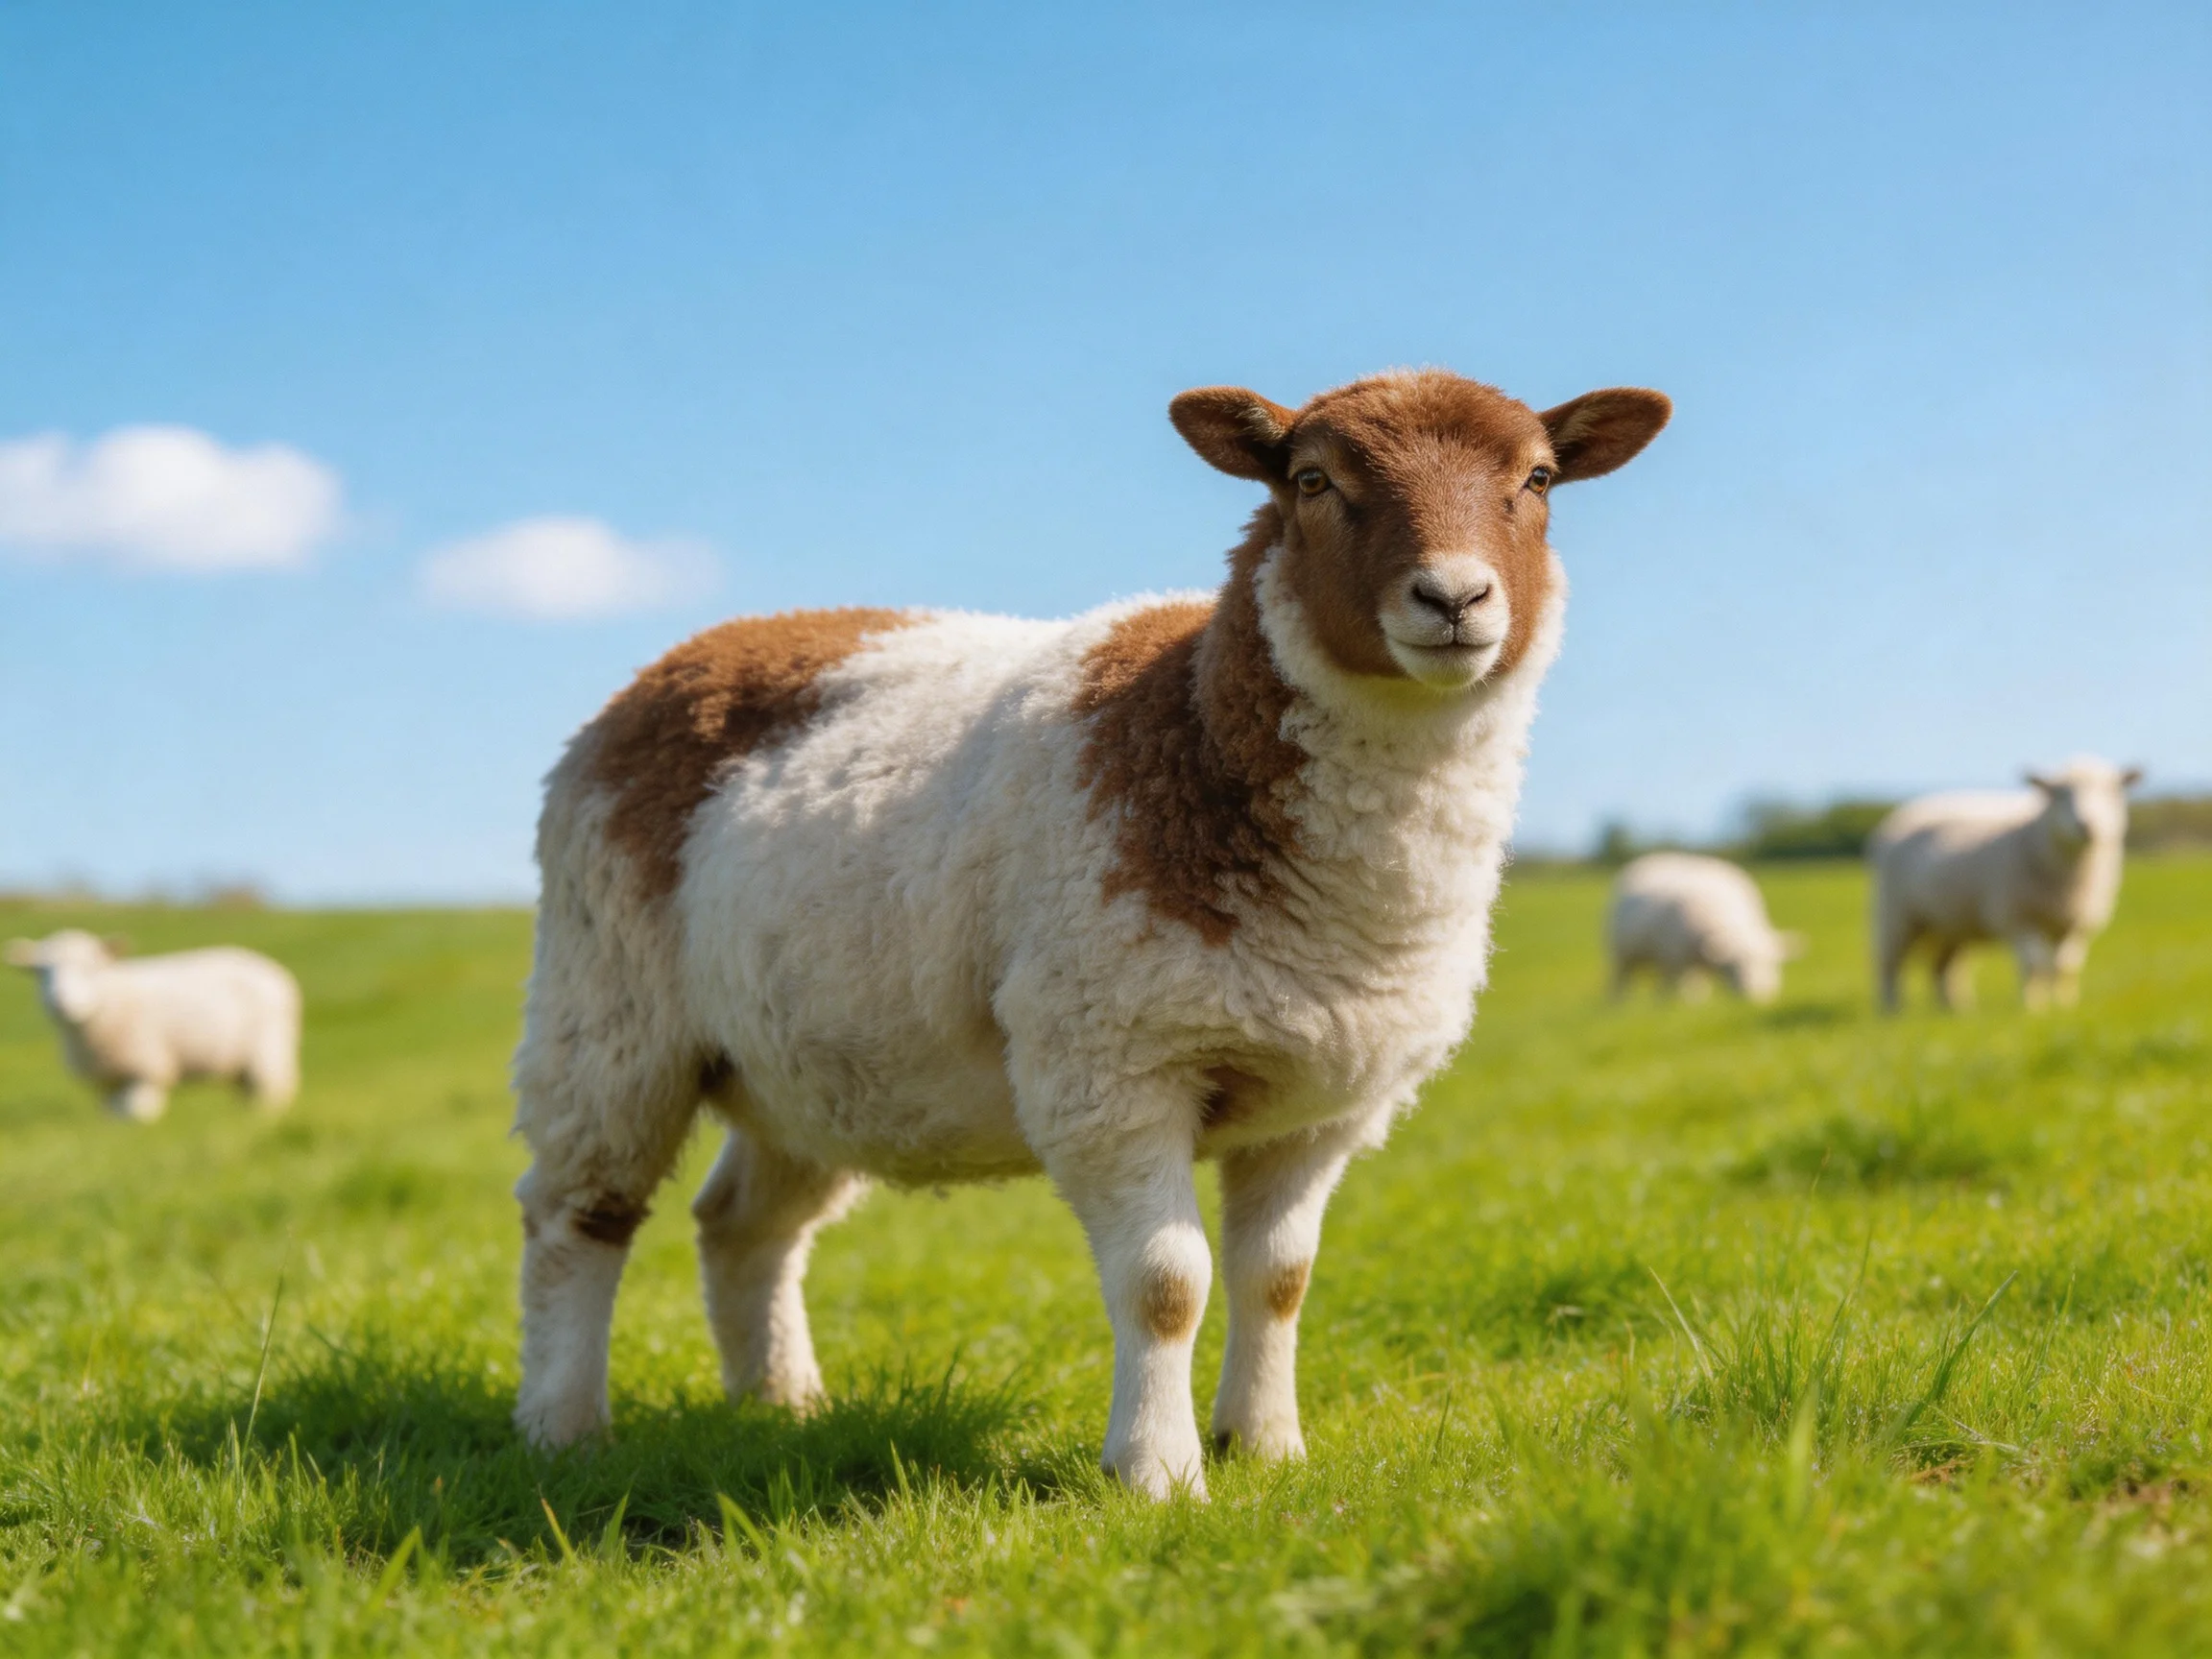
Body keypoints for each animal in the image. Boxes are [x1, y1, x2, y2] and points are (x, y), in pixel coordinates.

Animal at [4, 929, 301, 1120]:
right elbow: (112, 1115)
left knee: (270, 1094)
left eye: (90, 967)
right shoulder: (106, 1082)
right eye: (41, 971)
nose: (60, 1002)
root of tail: (272, 970)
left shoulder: (147, 1070)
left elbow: (136, 1113)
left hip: (268, 1052)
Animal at [509, 368, 1671, 1496]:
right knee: (577, 1215)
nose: (1455, 597)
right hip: (607, 1009)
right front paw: (1158, 1474)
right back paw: (564, 1429)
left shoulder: (1326, 1099)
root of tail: (689, 655)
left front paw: (1268, 1448)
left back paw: (781, 1405)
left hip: (809, 1062)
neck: (1195, 733)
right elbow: (1167, 1285)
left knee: (744, 1226)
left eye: (1539, 479)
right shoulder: (1110, 1065)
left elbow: (1279, 1280)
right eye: (1310, 479)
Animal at [1607, 852, 1801, 1004]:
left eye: (1772, 963)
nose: (1756, 996)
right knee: (1622, 980)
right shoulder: (1674, 957)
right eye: (1733, 965)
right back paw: (1618, 1004)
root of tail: (1658, 856)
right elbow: (1674, 986)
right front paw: (1671, 1005)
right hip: (1621, 953)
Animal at [1869, 756, 2141, 1012]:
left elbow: (2064, 967)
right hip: (1896, 913)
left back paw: (1956, 1010)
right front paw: (2034, 1008)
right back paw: (1892, 1010)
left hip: (1950, 923)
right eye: (2059, 794)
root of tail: (1907, 811)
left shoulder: (2074, 924)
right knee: (1889, 964)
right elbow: (2034, 965)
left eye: (2112, 791)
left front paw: (2064, 1005)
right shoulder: (2016, 917)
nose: (2087, 826)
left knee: (1943, 967)